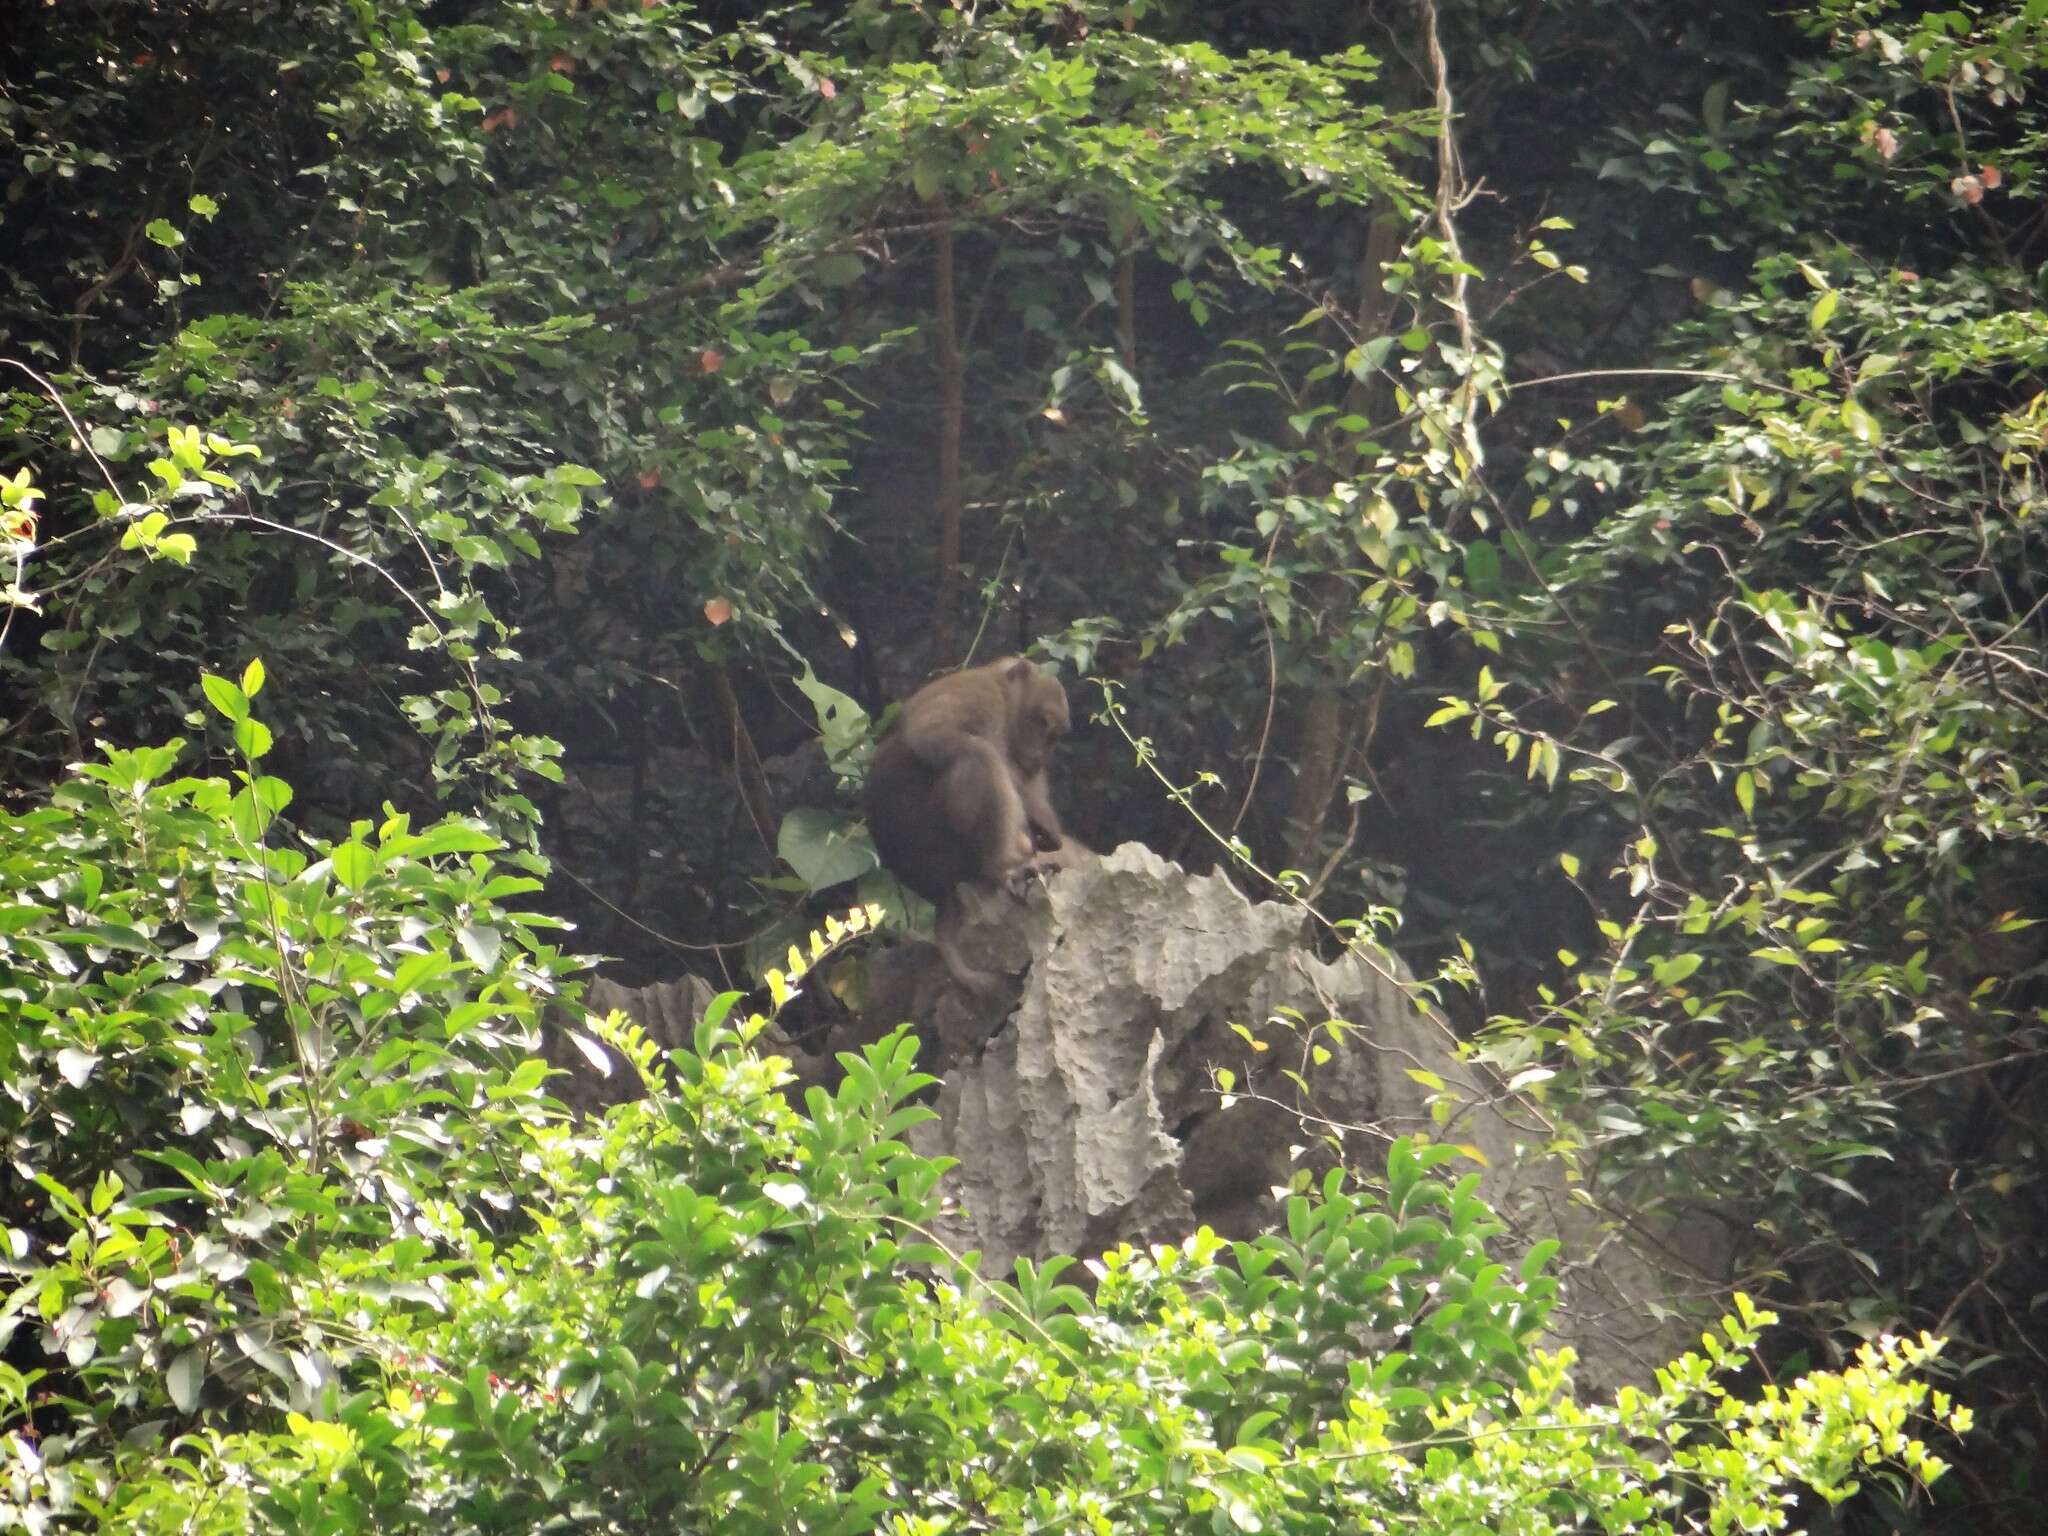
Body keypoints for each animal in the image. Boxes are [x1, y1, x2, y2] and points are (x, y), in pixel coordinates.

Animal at [864, 655, 1089, 991]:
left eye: (1054, 736)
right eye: (1041, 724)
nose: (1039, 757)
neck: (1006, 698)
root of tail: (938, 890)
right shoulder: (980, 697)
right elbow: (932, 736)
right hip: (942, 846)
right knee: (975, 753)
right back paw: (1005, 866)